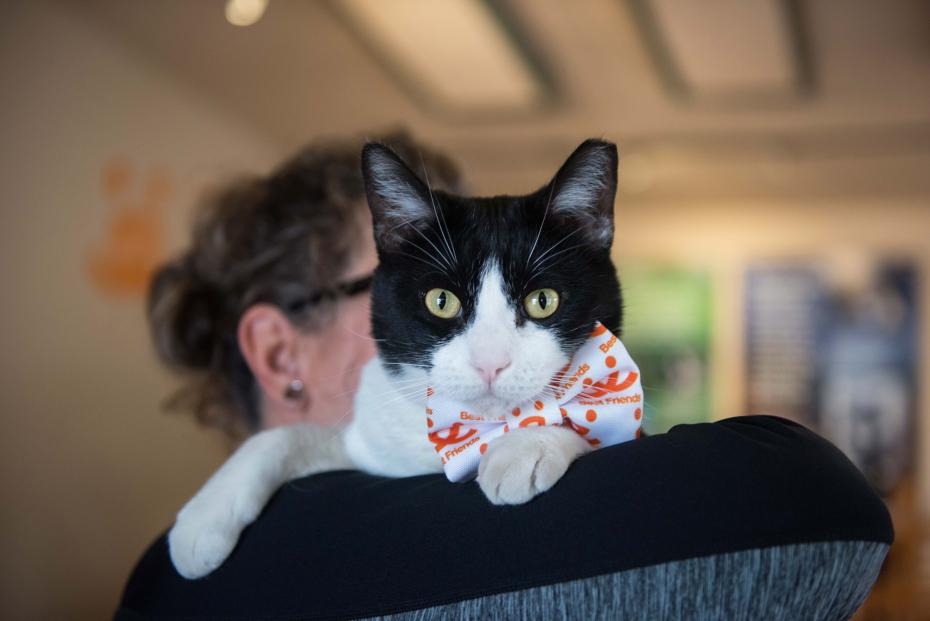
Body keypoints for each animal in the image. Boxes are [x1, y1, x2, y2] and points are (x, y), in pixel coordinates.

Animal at [169, 138, 624, 580]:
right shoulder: (370, 450)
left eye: (543, 300)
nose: (489, 363)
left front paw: (526, 445)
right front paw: (203, 520)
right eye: (441, 301)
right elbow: (285, 436)